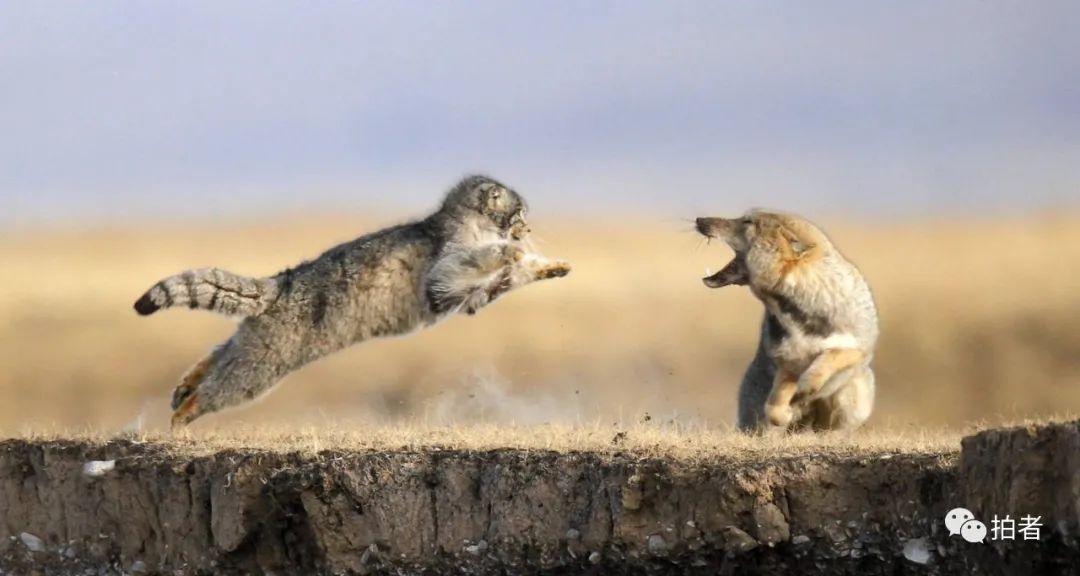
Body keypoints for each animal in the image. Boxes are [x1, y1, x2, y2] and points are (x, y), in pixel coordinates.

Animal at [135, 175, 574, 425]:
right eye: (519, 215)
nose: (527, 229)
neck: (465, 222)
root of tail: (280, 283)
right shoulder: (442, 276)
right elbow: (479, 262)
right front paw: (512, 251)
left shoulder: (469, 297)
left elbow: (500, 284)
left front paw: (550, 267)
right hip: (261, 364)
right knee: (216, 388)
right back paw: (182, 416)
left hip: (248, 343)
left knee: (215, 354)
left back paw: (185, 384)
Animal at [695, 210, 881, 432]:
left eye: (748, 222)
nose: (699, 220)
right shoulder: (787, 362)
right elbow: (774, 407)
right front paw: (787, 412)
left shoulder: (858, 347)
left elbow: (830, 356)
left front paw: (807, 384)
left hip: (853, 401)